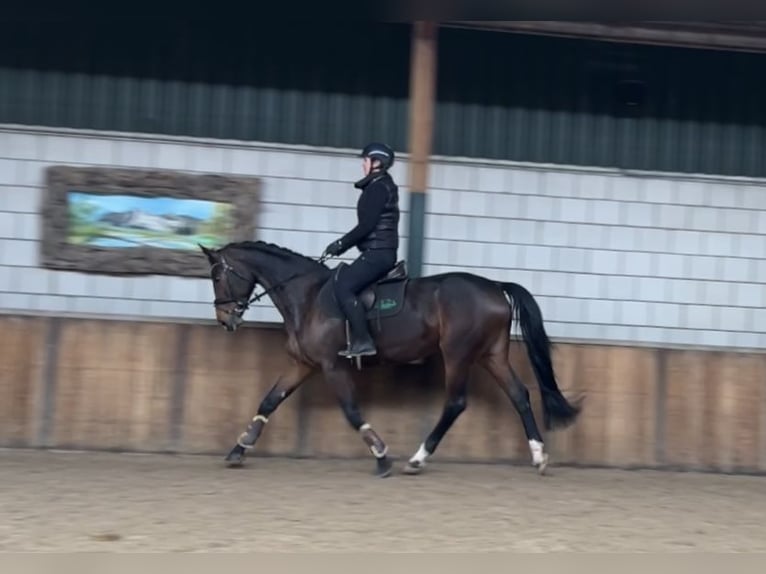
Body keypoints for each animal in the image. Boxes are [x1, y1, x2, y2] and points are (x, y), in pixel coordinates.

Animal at [198, 241, 584, 480]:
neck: (307, 296)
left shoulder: (331, 366)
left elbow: (352, 412)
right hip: (491, 355)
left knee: (456, 403)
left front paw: (382, 456)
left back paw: (416, 460)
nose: (225, 320)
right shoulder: (302, 364)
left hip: (458, 354)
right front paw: (239, 449)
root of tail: (494, 285)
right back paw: (539, 457)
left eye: (217, 276)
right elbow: (269, 400)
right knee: (520, 395)